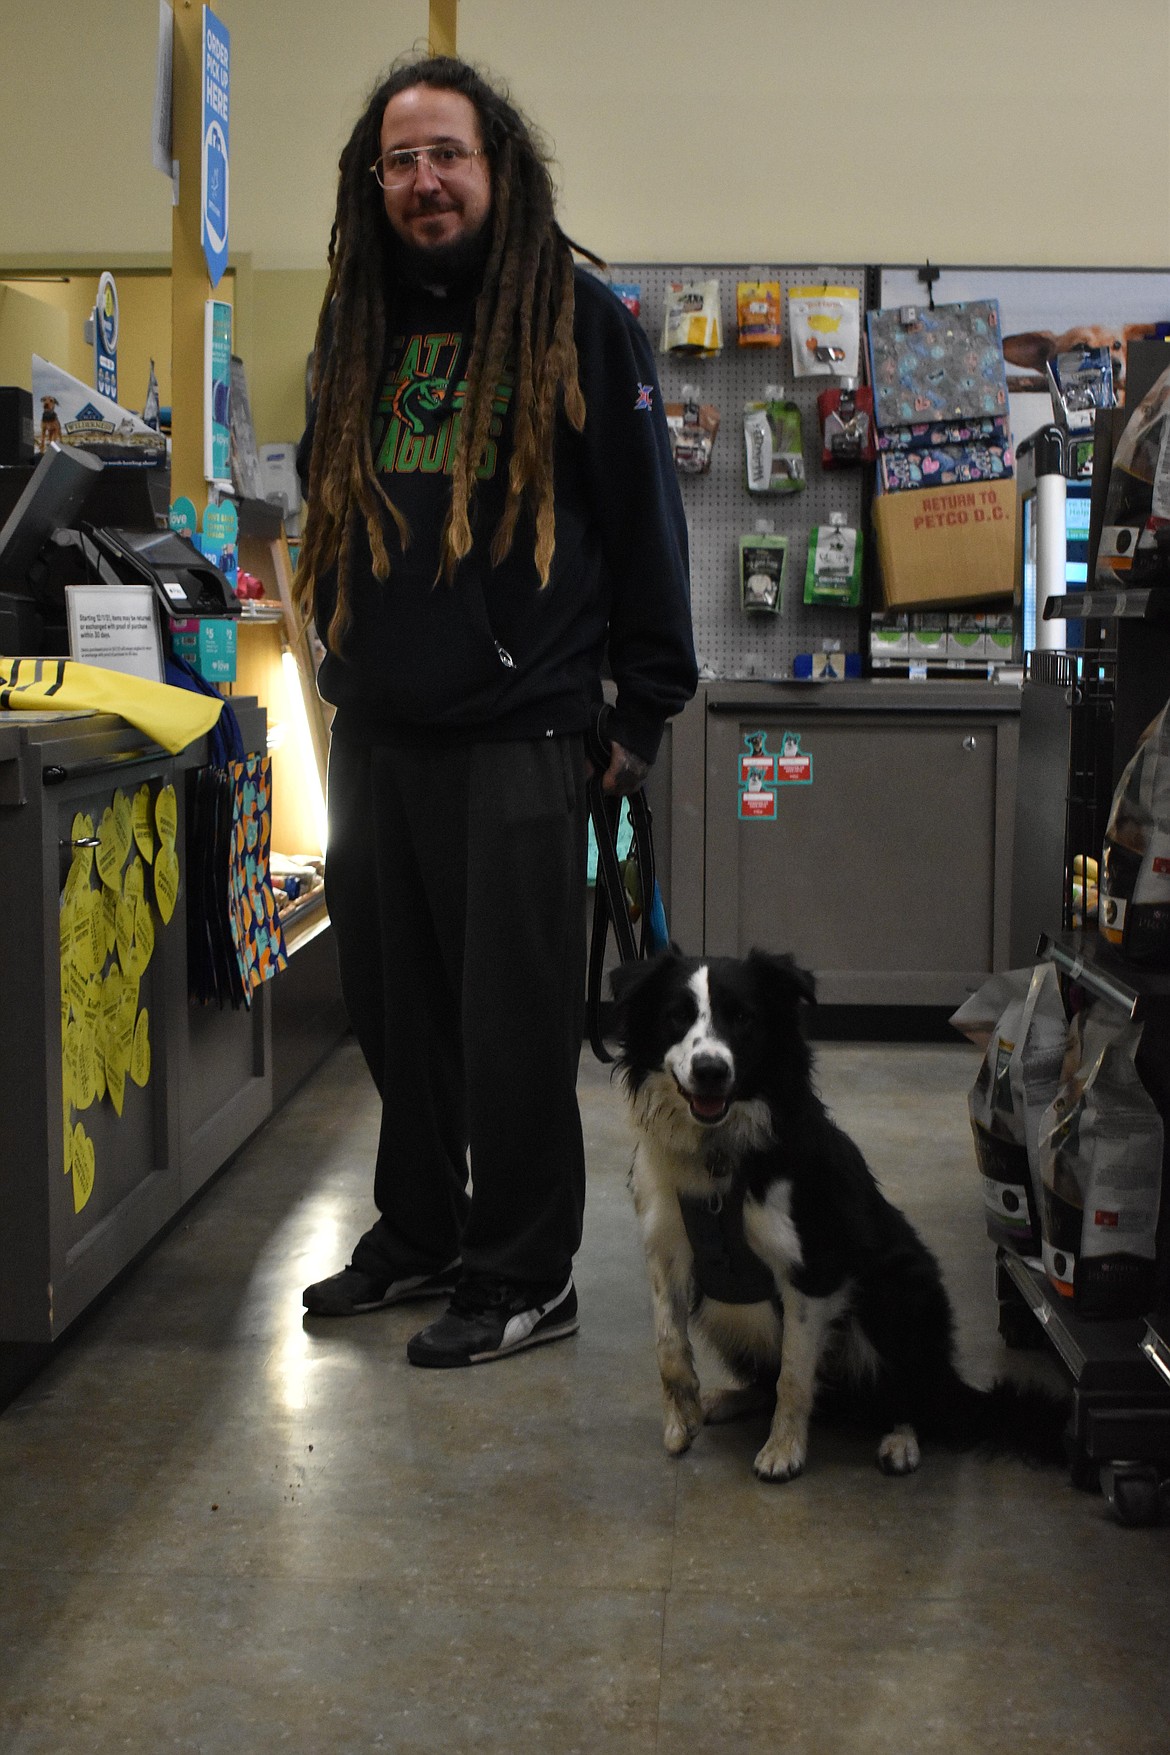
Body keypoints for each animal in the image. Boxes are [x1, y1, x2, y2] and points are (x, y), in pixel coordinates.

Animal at [610, 947, 1073, 1481]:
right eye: (676, 1017)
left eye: (743, 1018)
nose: (710, 1070)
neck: (719, 1154)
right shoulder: (667, 1250)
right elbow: (668, 1344)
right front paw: (681, 1418)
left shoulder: (813, 1269)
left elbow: (794, 1374)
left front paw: (783, 1451)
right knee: (770, 1380)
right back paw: (726, 1399)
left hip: (900, 1286)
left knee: (914, 1396)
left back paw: (900, 1440)